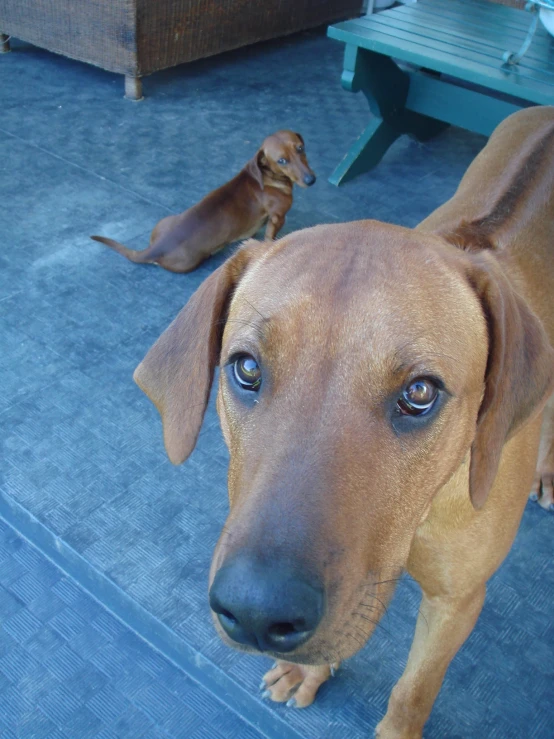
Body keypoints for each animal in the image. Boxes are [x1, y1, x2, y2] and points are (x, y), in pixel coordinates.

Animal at [91, 131, 314, 274]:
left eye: (300, 148)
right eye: (282, 160)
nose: (311, 180)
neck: (266, 177)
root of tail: (155, 248)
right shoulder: (278, 217)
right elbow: (271, 237)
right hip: (189, 263)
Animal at [133, 107, 552, 736]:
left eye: (421, 393)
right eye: (247, 368)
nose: (256, 612)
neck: (426, 506)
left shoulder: (457, 601)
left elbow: (413, 690)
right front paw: (308, 671)